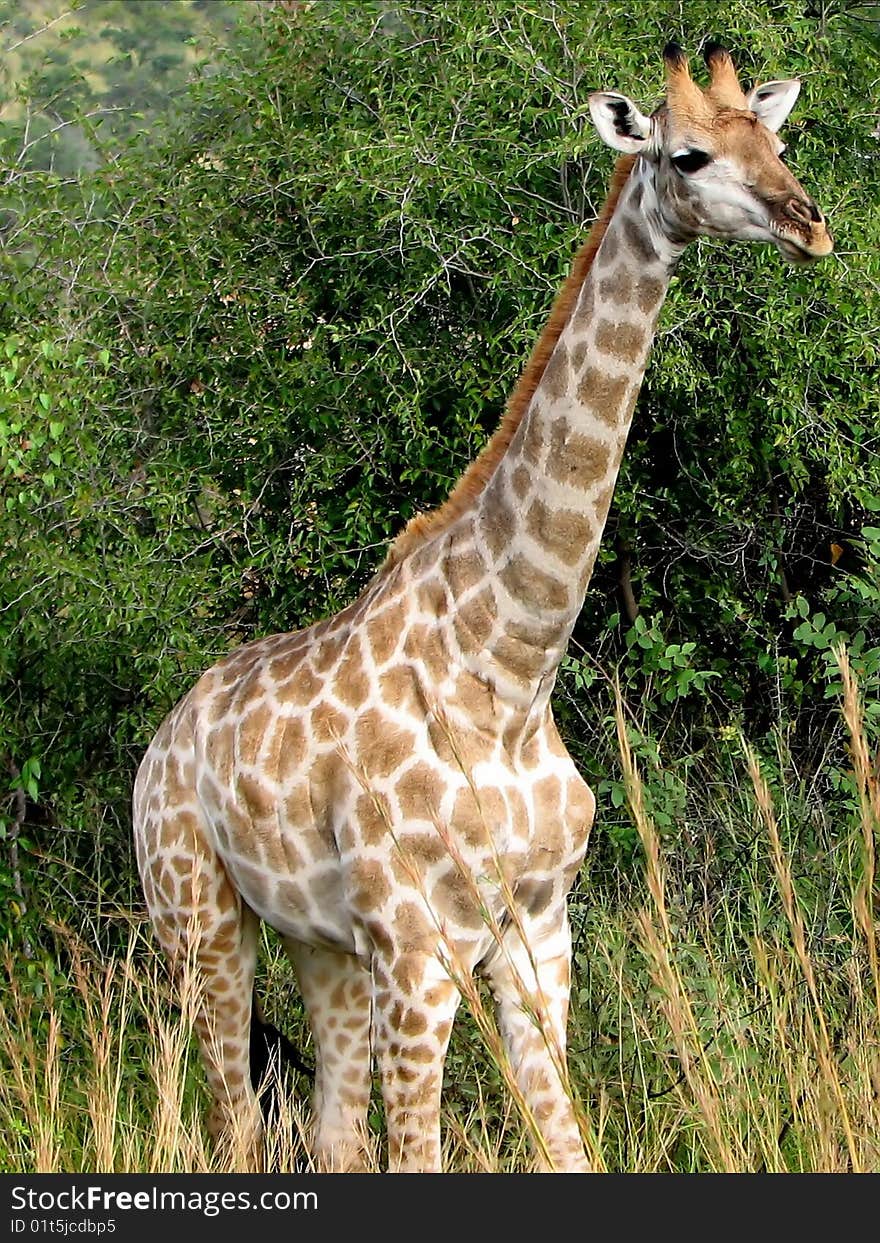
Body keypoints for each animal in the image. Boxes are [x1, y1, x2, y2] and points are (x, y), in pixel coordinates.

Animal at [130, 41, 830, 1173]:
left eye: (771, 136)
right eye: (686, 154)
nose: (809, 223)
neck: (508, 663)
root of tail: (158, 745)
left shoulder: (538, 929)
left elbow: (567, 1146)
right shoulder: (420, 947)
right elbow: (419, 1153)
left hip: (319, 944)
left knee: (328, 1131)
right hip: (196, 918)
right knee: (226, 1117)